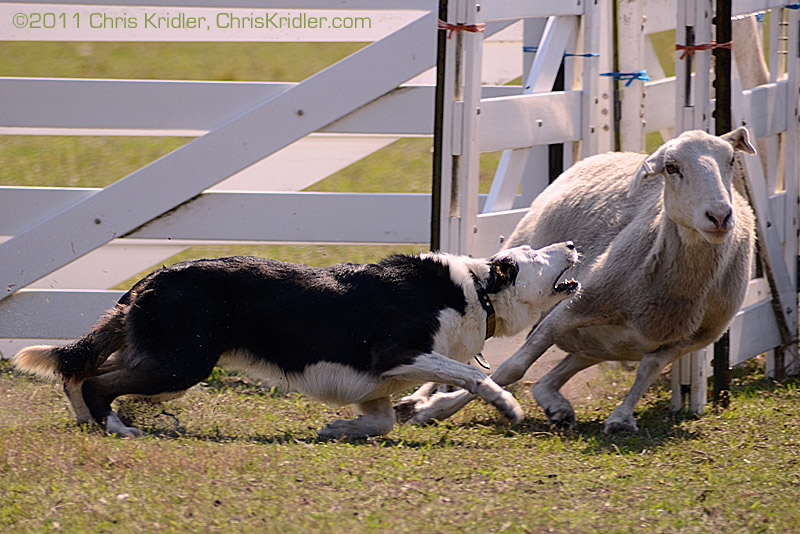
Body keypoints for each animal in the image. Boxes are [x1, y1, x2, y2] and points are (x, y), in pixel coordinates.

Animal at [12, 245, 576, 442]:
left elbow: (382, 420)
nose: (570, 243)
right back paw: (116, 428)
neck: (476, 290)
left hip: (166, 363)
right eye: (536, 255)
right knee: (97, 381)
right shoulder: (398, 354)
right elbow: (473, 375)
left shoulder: (377, 382)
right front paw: (507, 406)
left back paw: (89, 423)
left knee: (80, 374)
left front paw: (338, 429)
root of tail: (151, 278)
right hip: (179, 366)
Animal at [406, 127, 756, 434]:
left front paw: (621, 418)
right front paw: (436, 408)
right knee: (464, 350)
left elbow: (647, 371)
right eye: (671, 167)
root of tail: (602, 155)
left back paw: (555, 405)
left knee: (555, 374)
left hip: (602, 344)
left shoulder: (687, 340)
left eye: (731, 161)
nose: (719, 216)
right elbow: (511, 368)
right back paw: (419, 397)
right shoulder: (573, 307)